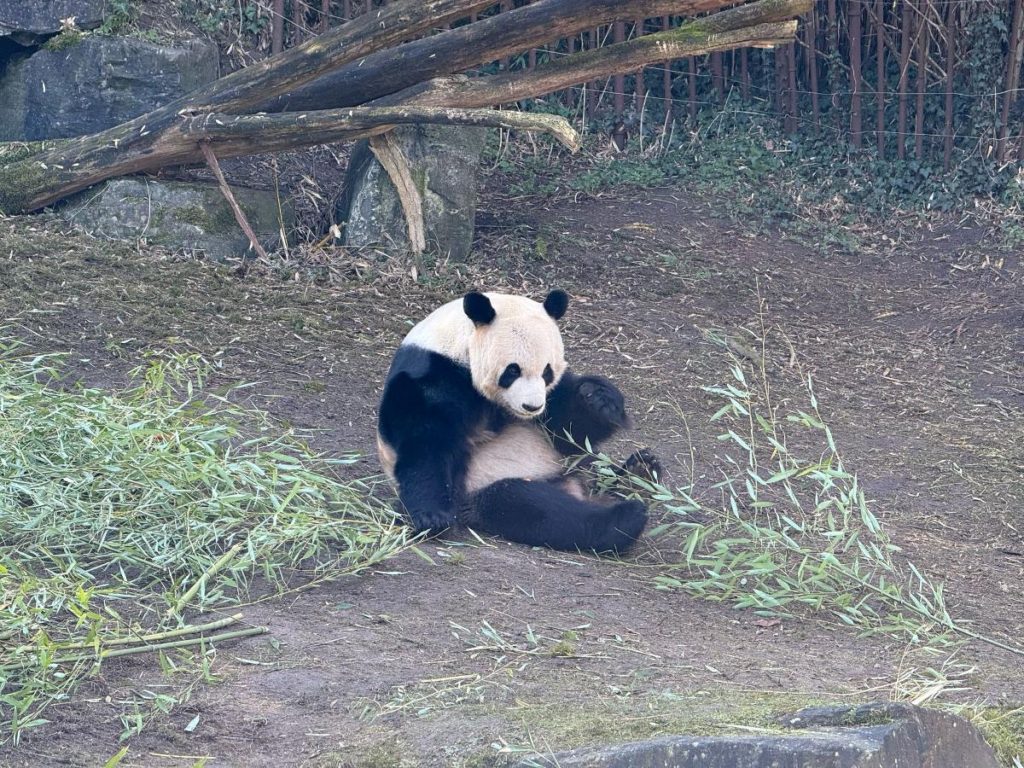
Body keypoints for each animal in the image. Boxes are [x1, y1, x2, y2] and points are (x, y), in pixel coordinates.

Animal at [376, 289, 650, 554]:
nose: (532, 407)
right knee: (531, 508)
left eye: (546, 371)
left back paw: (640, 472)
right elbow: (427, 443)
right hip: (481, 485)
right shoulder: (432, 376)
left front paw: (600, 399)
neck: (457, 344)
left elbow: (568, 431)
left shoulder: (551, 396)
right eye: (512, 370)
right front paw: (432, 517)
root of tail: (575, 488)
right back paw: (625, 517)